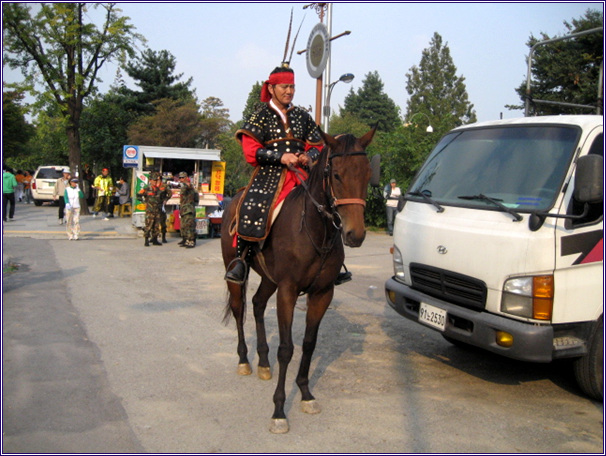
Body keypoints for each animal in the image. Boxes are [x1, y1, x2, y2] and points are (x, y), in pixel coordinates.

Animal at [221, 126, 378, 432]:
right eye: (336, 174)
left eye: (367, 173)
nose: (355, 234)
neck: (315, 230)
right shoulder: (288, 291)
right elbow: (286, 349)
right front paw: (279, 410)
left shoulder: (322, 293)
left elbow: (308, 344)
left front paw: (305, 394)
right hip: (234, 273)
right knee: (239, 309)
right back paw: (244, 359)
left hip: (269, 279)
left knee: (257, 304)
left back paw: (263, 362)